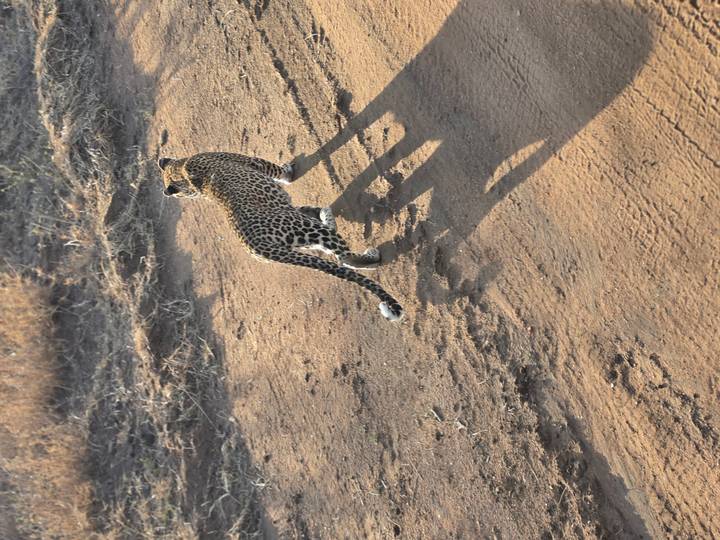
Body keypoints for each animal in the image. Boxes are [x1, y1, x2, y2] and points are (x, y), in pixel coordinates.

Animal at [158, 152, 404, 321]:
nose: (168, 193)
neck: (183, 169)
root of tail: (256, 247)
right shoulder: (256, 163)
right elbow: (279, 172)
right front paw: (288, 171)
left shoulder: (288, 207)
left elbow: (305, 207)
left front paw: (319, 210)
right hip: (303, 228)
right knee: (343, 258)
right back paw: (371, 256)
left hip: (298, 241)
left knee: (331, 249)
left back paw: (328, 217)